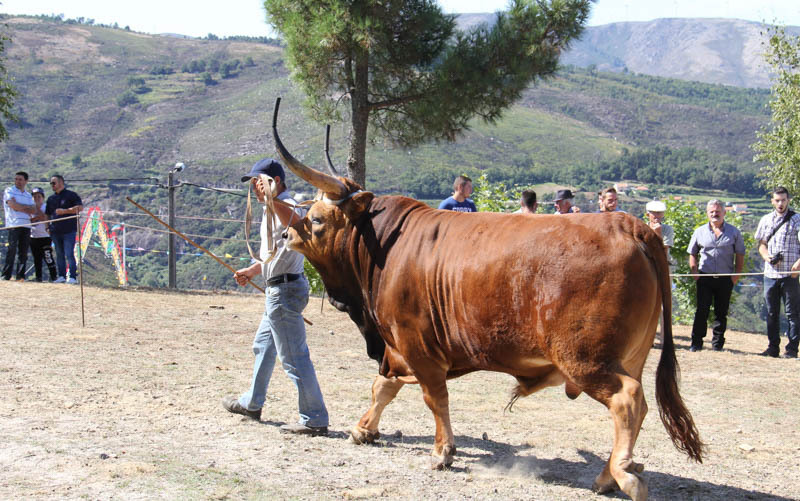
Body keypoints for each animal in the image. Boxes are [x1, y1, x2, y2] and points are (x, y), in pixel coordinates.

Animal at [270, 99, 703, 501]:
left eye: (318, 219)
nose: (284, 235)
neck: (386, 245)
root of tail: (627, 224)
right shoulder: (397, 348)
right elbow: (383, 388)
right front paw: (364, 428)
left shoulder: (414, 342)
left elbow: (433, 396)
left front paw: (442, 451)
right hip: (631, 355)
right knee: (634, 406)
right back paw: (606, 474)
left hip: (586, 358)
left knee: (628, 400)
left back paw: (623, 474)